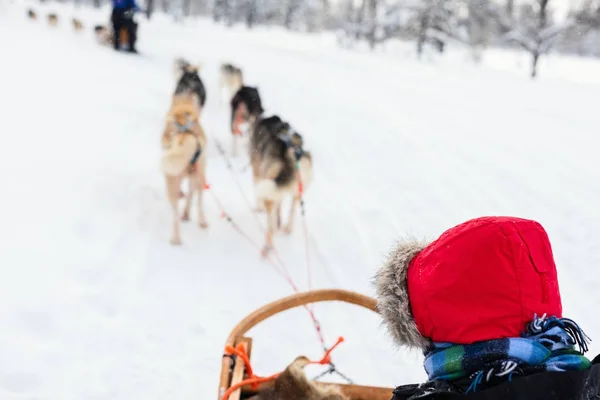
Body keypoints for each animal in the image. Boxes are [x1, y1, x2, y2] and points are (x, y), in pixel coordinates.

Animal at [162, 94, 209, 245]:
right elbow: (191, 195)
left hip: (172, 179)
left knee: (176, 214)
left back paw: (176, 239)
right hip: (199, 176)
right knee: (198, 202)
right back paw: (200, 221)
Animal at [250, 115, 314, 253]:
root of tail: (290, 153)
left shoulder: (257, 173)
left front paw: (258, 208)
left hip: (267, 185)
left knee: (272, 226)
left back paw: (268, 246)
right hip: (296, 191)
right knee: (291, 212)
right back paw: (286, 228)